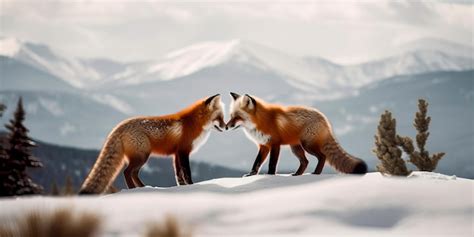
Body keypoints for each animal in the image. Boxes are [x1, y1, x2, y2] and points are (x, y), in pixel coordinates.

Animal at [78, 94, 226, 194]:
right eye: (219, 118)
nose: (226, 127)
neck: (194, 124)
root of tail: (119, 126)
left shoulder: (176, 153)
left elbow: (178, 175)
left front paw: (182, 188)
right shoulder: (184, 151)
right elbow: (186, 173)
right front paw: (191, 186)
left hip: (141, 157)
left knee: (133, 173)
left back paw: (143, 188)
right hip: (142, 156)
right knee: (127, 172)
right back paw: (133, 190)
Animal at [225, 92, 366, 176]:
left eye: (238, 117)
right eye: (231, 116)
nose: (226, 126)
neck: (261, 121)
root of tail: (324, 118)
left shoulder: (275, 144)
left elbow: (272, 163)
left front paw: (270, 175)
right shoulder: (264, 145)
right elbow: (257, 163)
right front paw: (251, 174)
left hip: (307, 145)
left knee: (322, 157)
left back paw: (316, 173)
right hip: (296, 148)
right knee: (305, 162)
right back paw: (297, 174)